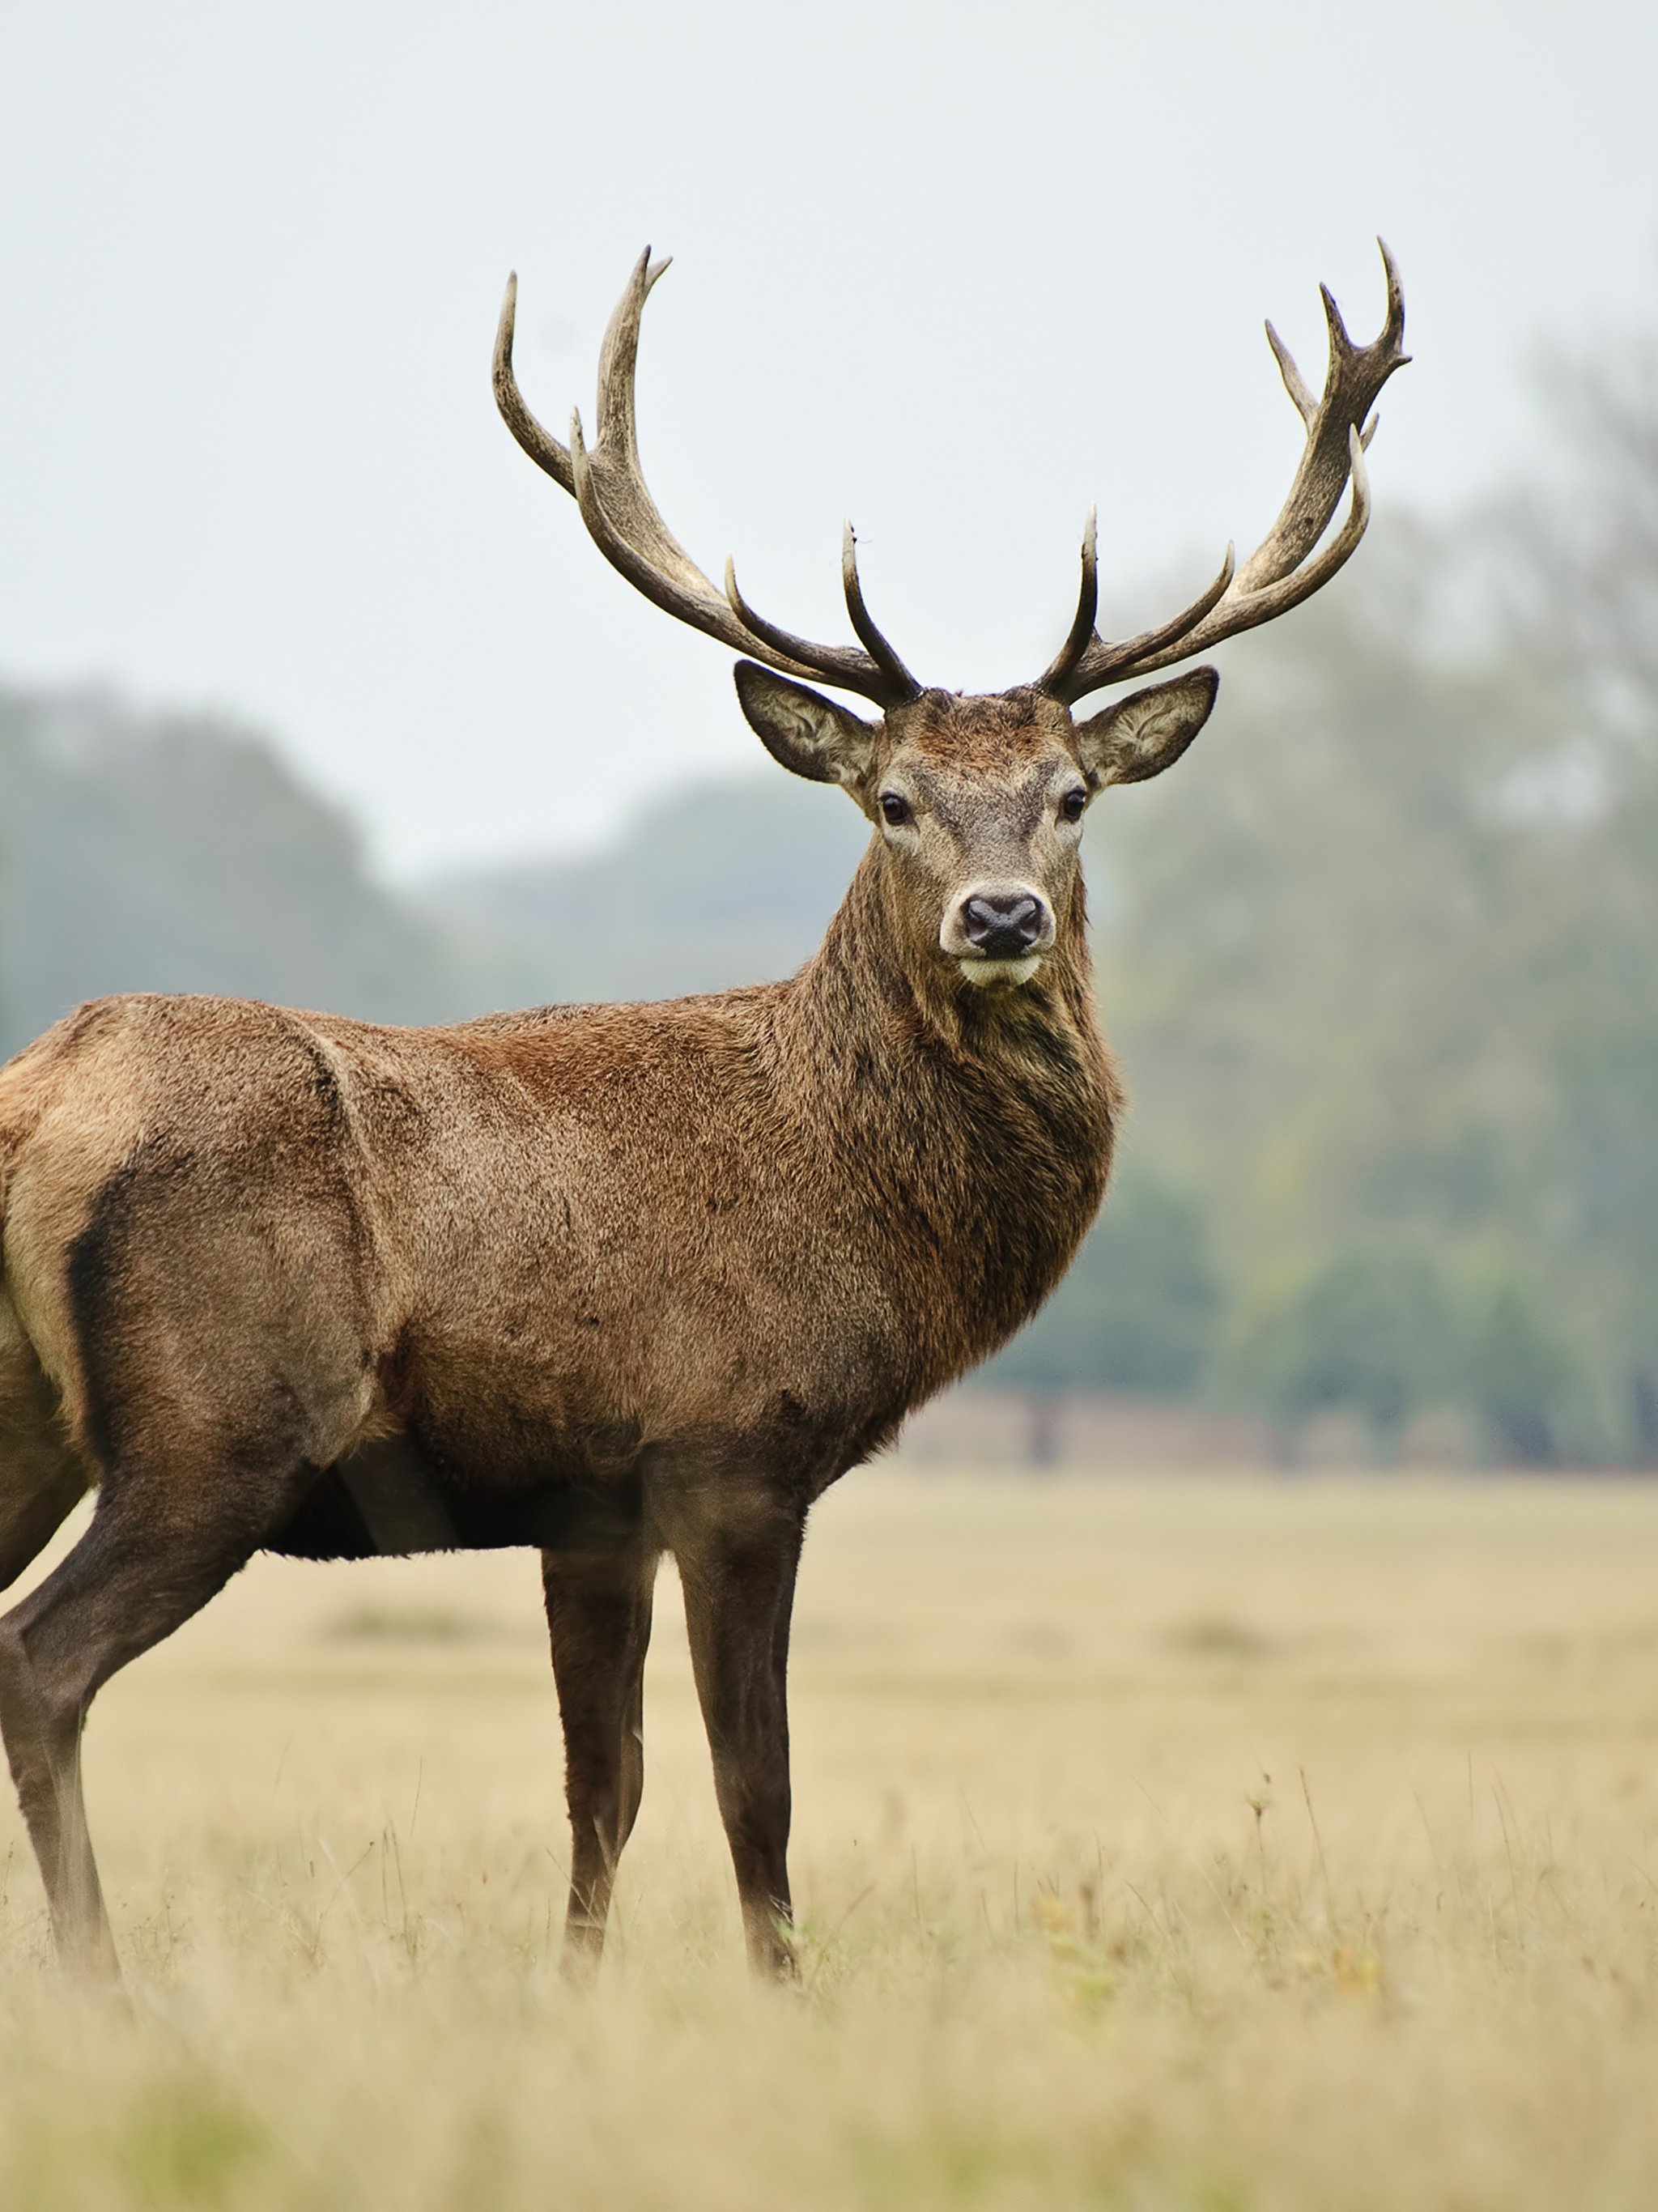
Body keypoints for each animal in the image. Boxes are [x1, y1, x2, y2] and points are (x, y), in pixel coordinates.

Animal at [0, 246, 1405, 1990]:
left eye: (1072, 796)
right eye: (892, 801)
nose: (1001, 915)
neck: (849, 1196)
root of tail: (40, 1101)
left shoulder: (586, 1503)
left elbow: (601, 1781)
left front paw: (576, 1989)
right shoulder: (734, 1446)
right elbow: (757, 1782)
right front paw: (784, 1991)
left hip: (36, 1412)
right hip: (219, 1419)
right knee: (43, 1659)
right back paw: (101, 1980)